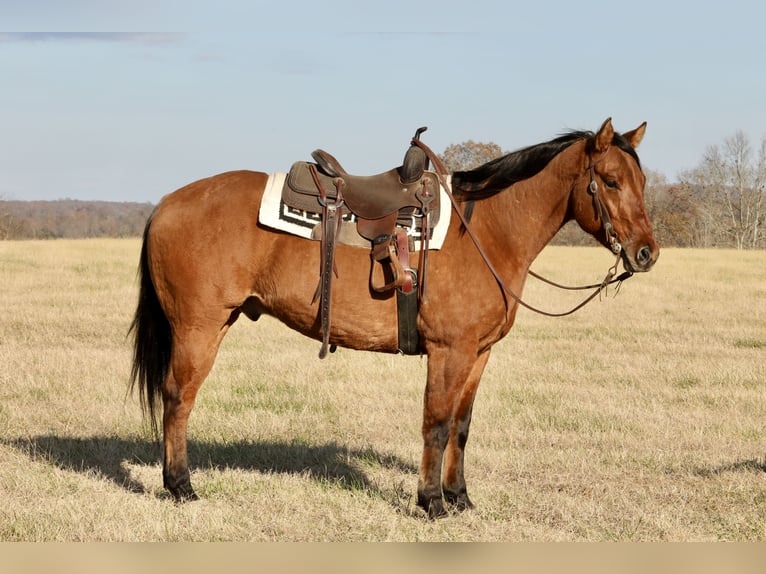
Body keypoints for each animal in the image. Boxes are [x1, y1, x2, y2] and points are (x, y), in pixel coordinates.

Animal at [130, 118, 659, 518]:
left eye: (642, 182)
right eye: (611, 181)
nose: (646, 253)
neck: (487, 232)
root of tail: (166, 204)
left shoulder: (479, 353)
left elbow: (461, 426)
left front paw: (460, 498)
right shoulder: (449, 351)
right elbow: (437, 424)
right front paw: (432, 503)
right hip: (198, 328)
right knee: (178, 398)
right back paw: (181, 486)